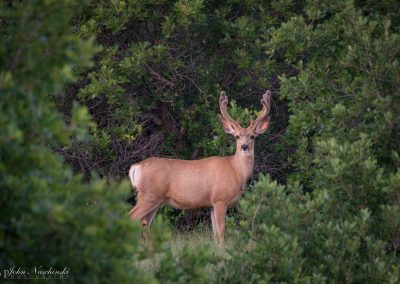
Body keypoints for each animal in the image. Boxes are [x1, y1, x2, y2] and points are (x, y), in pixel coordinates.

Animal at [129, 90, 272, 244]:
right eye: (237, 136)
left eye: (252, 136)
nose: (244, 146)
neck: (235, 170)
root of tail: (136, 167)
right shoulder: (220, 198)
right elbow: (221, 230)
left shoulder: (211, 204)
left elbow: (215, 233)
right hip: (149, 195)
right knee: (131, 216)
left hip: (154, 199)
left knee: (145, 224)